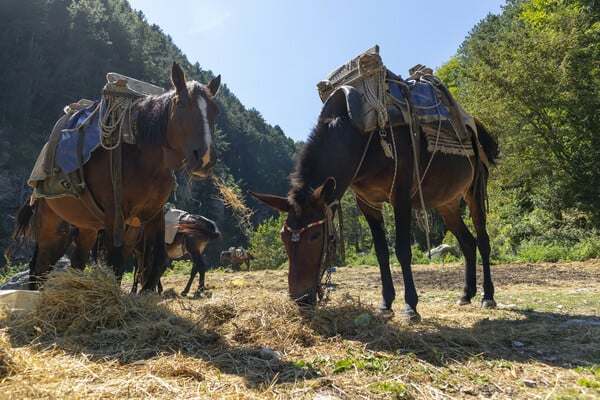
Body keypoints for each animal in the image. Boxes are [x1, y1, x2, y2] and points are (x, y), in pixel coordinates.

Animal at [14, 64, 220, 292]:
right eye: (182, 104)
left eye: (215, 111)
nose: (205, 158)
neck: (144, 162)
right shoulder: (115, 214)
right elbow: (116, 264)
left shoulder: (153, 215)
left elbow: (156, 262)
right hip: (52, 223)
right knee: (41, 267)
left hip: (87, 227)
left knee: (75, 263)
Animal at [251, 84, 500, 322]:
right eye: (283, 237)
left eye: (315, 235)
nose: (299, 299)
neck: (361, 142)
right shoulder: (367, 203)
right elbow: (381, 252)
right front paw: (385, 304)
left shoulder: (401, 197)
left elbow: (402, 250)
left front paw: (410, 307)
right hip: (447, 203)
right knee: (467, 242)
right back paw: (466, 294)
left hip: (474, 192)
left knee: (483, 240)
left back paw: (488, 297)